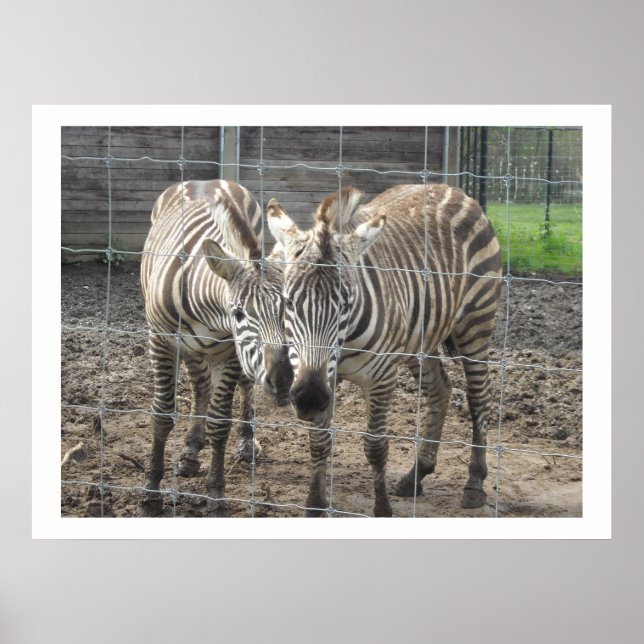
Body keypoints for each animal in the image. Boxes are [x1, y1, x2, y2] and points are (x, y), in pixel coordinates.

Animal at [139, 179, 292, 516]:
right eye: (239, 313)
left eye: (290, 310)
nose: (283, 382)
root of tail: (205, 181)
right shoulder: (160, 341)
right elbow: (162, 414)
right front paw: (151, 490)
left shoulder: (232, 352)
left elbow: (220, 423)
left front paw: (217, 496)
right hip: (191, 349)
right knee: (200, 387)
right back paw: (190, 450)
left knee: (243, 386)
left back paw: (246, 442)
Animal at [267, 184, 502, 517]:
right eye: (288, 302)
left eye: (346, 303)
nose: (309, 399)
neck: (344, 345)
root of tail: (451, 188)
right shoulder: (325, 377)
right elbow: (319, 441)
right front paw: (314, 506)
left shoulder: (381, 376)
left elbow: (376, 447)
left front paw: (382, 509)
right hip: (421, 340)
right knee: (440, 389)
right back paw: (416, 476)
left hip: (476, 321)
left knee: (479, 398)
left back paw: (474, 484)